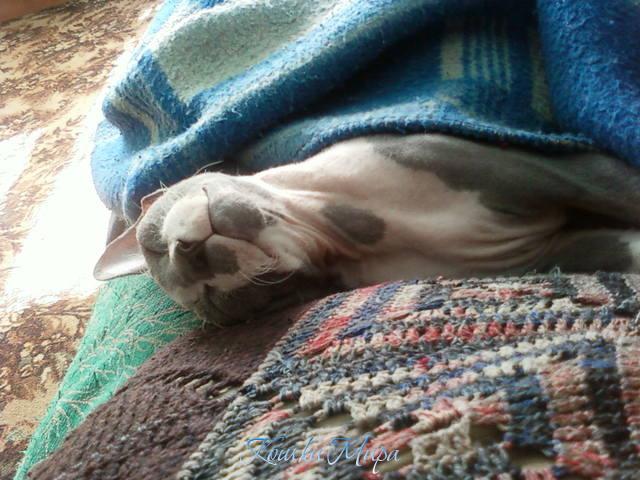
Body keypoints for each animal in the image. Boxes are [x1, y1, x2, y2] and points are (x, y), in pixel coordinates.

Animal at [95, 134, 640, 325]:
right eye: (212, 299)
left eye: (153, 243)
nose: (187, 253)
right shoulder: (546, 252)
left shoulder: (555, 172)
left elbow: (620, 190)